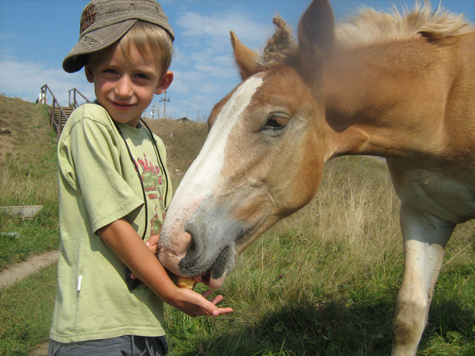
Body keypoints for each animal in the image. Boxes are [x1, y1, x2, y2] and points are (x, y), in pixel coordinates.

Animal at [158, 1, 474, 354]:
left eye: (276, 121)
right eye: (212, 118)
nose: (173, 245)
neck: (442, 107)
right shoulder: (426, 216)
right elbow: (410, 316)